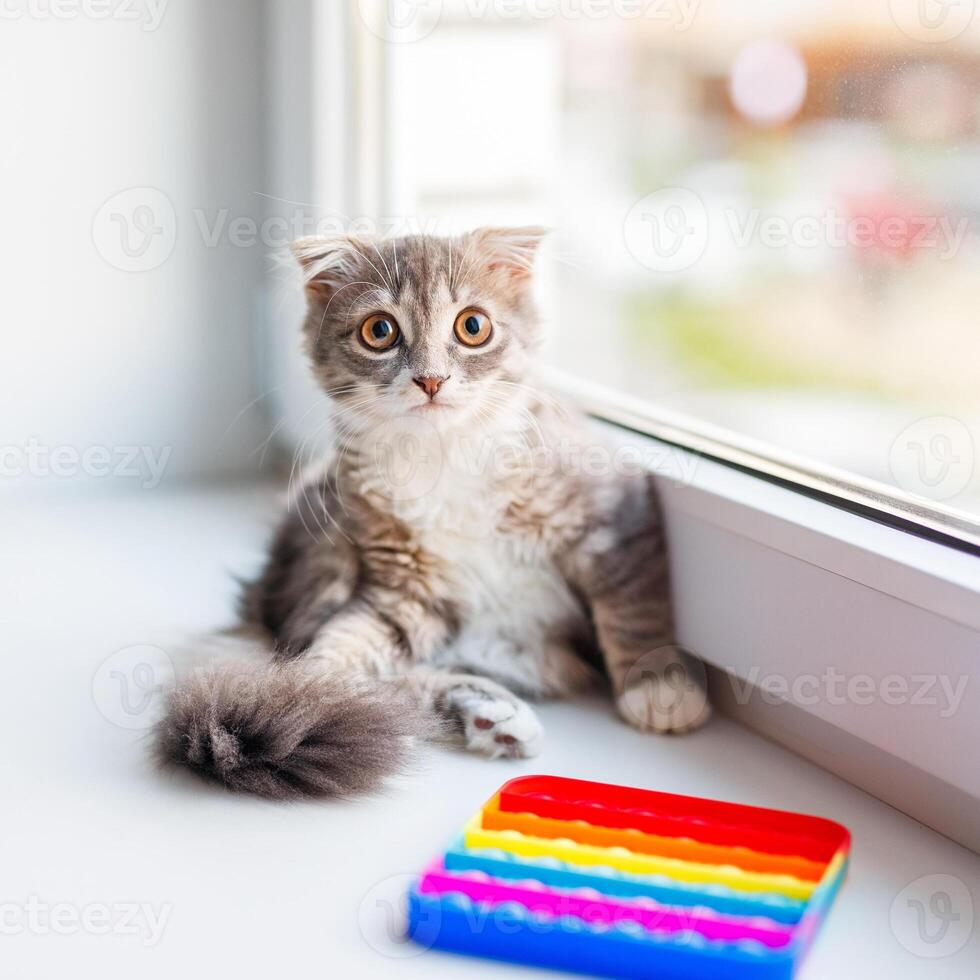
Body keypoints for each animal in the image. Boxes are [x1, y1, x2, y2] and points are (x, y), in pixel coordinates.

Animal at [157, 228, 708, 796]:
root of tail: (260, 599)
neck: (445, 455)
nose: (431, 380)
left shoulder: (614, 514)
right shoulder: (403, 584)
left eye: (473, 326)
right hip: (327, 549)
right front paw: (309, 696)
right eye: (379, 331)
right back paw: (487, 714)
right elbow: (347, 646)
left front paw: (658, 687)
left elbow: (634, 609)